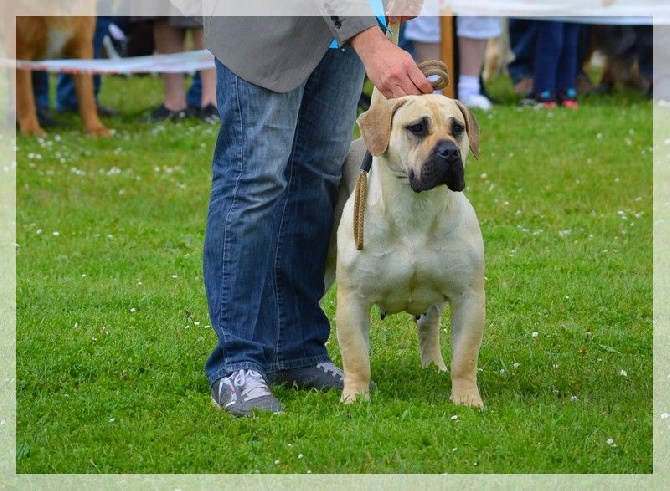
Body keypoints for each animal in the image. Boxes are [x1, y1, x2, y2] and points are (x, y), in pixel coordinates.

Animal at [330, 90, 484, 410]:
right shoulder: (354, 299)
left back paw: (434, 365)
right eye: (418, 128)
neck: (416, 206)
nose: (449, 151)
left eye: (457, 129)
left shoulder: (468, 296)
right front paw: (355, 397)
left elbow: (465, 357)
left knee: (429, 326)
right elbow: (356, 357)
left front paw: (467, 399)